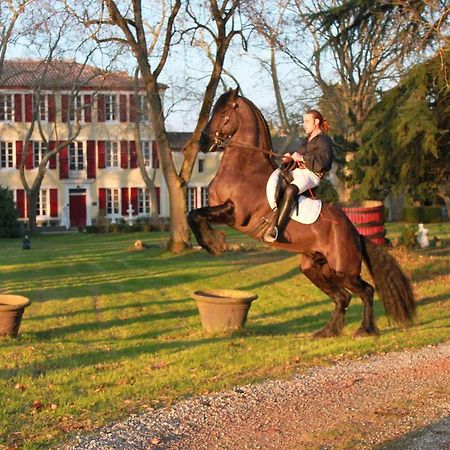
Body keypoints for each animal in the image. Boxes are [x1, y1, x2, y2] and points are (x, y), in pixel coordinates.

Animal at [187, 89, 414, 338]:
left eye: (222, 113)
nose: (203, 142)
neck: (244, 167)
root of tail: (356, 234)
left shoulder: (235, 213)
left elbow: (195, 215)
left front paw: (215, 244)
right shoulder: (224, 211)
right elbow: (194, 214)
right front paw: (213, 242)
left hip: (343, 271)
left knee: (366, 291)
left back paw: (365, 330)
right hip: (313, 267)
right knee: (342, 297)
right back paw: (327, 332)